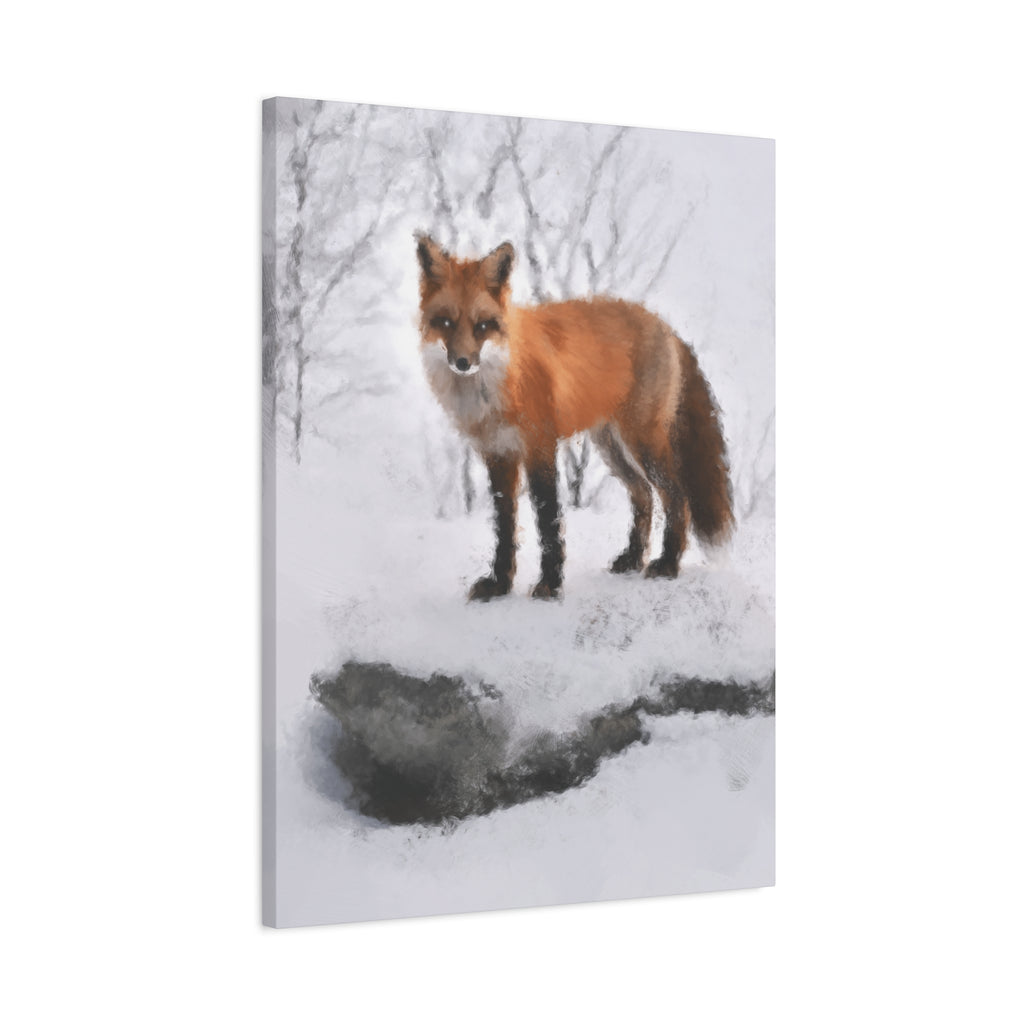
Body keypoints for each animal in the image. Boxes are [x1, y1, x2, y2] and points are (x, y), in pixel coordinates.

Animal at [416, 233, 734, 601]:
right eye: (446, 322)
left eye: (482, 326)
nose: (463, 363)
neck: (496, 385)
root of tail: (664, 324)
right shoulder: (498, 454)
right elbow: (505, 526)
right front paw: (499, 584)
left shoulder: (539, 446)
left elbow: (548, 519)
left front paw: (550, 584)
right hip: (612, 447)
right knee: (643, 496)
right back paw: (633, 558)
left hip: (643, 443)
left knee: (676, 497)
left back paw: (667, 563)